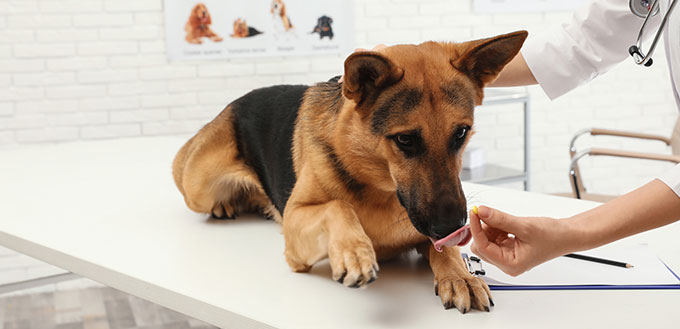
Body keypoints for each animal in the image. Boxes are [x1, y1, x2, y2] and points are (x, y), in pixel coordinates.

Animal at [173, 31, 528, 312]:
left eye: (461, 133)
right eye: (405, 140)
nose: (452, 226)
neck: (380, 186)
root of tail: (236, 101)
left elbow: (447, 251)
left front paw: (460, 275)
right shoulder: (295, 227)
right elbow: (338, 206)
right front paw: (354, 252)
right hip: (198, 186)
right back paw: (228, 203)